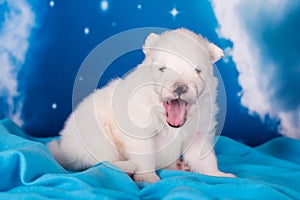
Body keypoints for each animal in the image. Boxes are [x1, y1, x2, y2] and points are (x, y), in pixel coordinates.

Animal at [47, 28, 234, 183]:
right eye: (162, 69)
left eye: (198, 71)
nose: (180, 87)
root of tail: (64, 150)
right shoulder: (140, 131)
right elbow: (144, 157)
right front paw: (147, 177)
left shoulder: (200, 133)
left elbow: (205, 159)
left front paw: (217, 174)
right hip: (94, 133)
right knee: (99, 161)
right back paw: (127, 167)